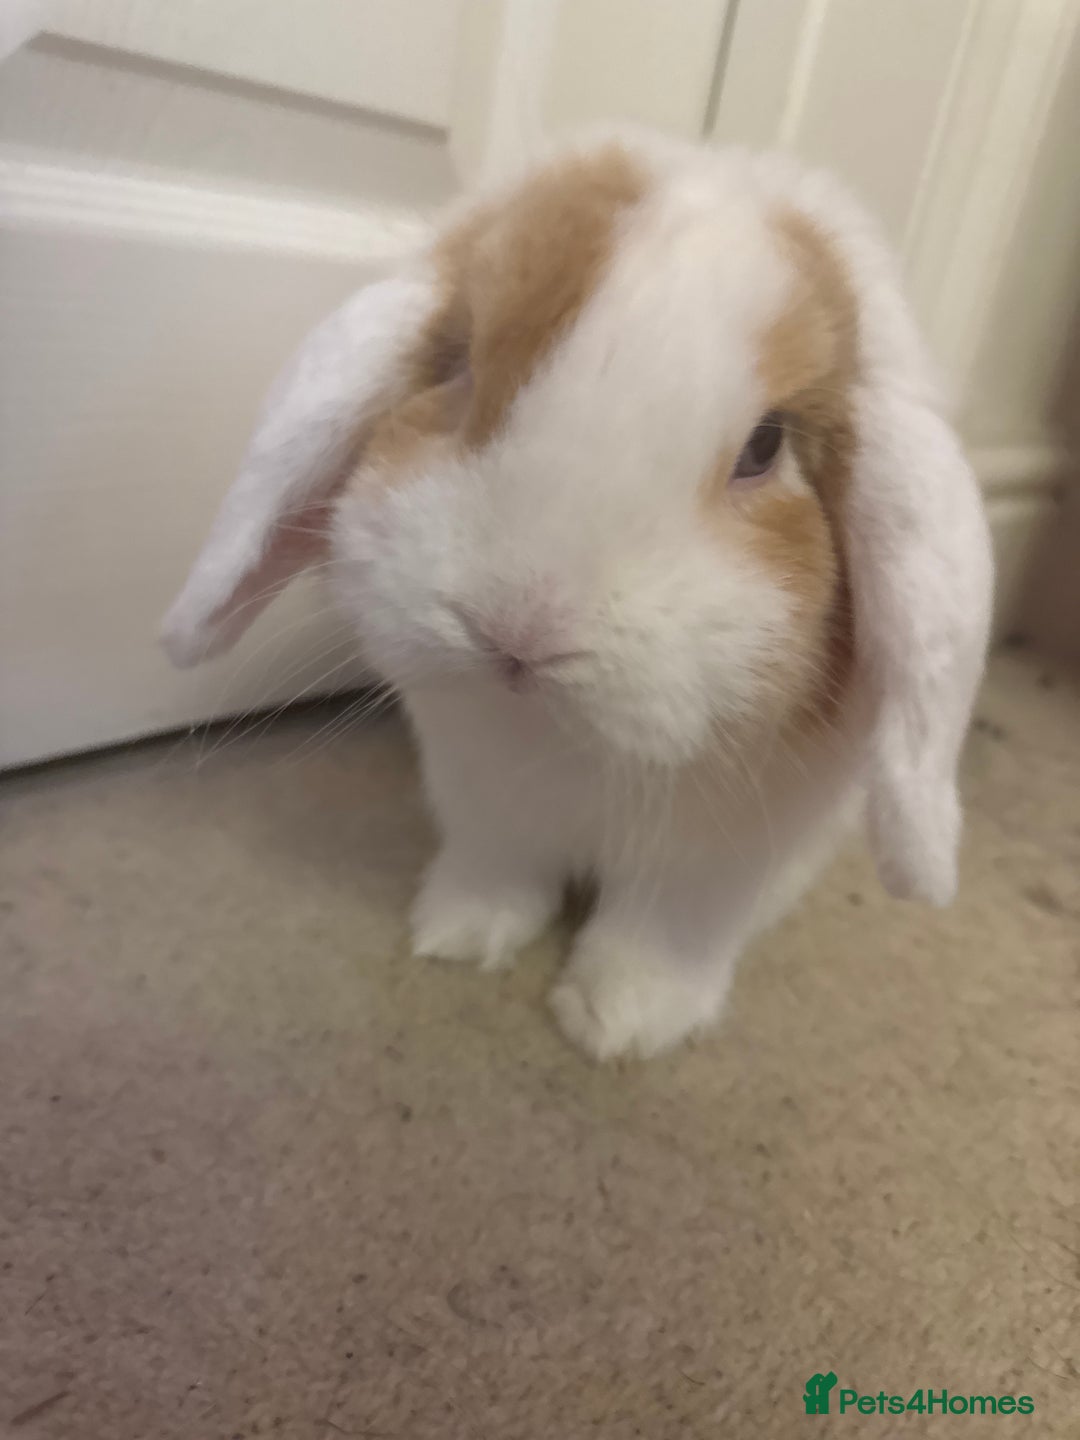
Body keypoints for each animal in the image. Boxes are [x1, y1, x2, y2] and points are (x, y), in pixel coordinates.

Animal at [162, 128, 994, 1061]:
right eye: (460, 366)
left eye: (765, 446)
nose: (515, 630)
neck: (570, 746)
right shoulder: (485, 805)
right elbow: (496, 875)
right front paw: (459, 937)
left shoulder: (713, 867)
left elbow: (660, 936)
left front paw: (620, 1025)